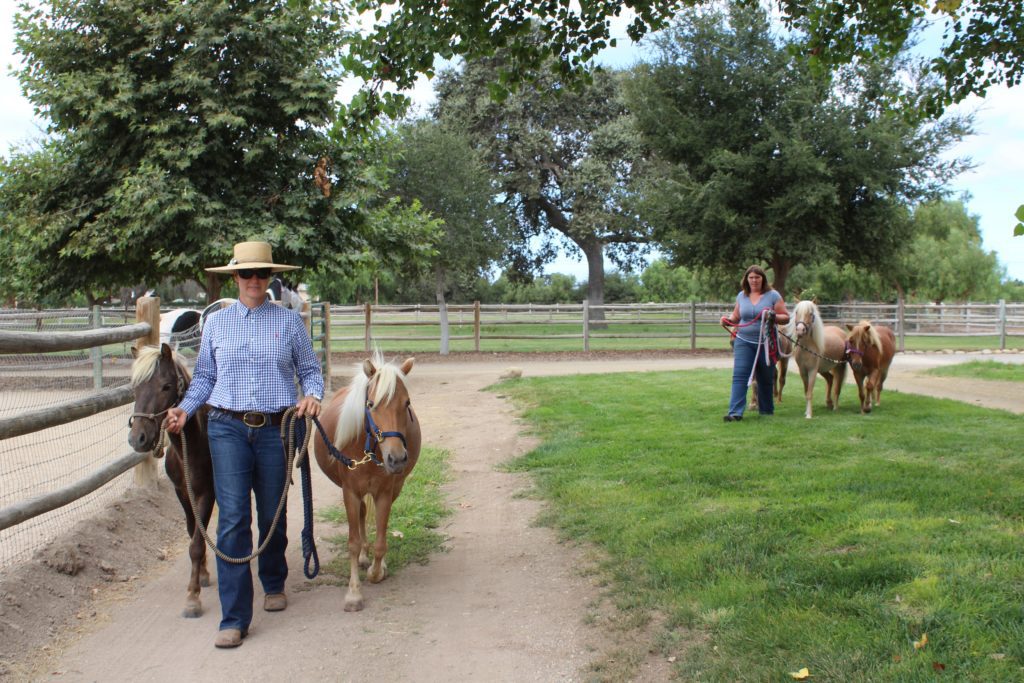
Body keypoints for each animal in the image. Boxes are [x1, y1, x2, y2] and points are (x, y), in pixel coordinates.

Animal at [128, 344, 215, 618]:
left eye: (166, 386)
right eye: (134, 388)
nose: (138, 438)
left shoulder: (207, 493)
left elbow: (196, 543)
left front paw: (192, 598)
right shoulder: (182, 493)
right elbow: (193, 533)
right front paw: (203, 575)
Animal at [313, 352, 421, 612]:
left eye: (406, 403)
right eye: (371, 405)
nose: (396, 458)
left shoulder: (385, 492)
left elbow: (381, 541)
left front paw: (377, 570)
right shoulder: (350, 492)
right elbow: (352, 542)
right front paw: (354, 593)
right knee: (362, 513)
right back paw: (363, 556)